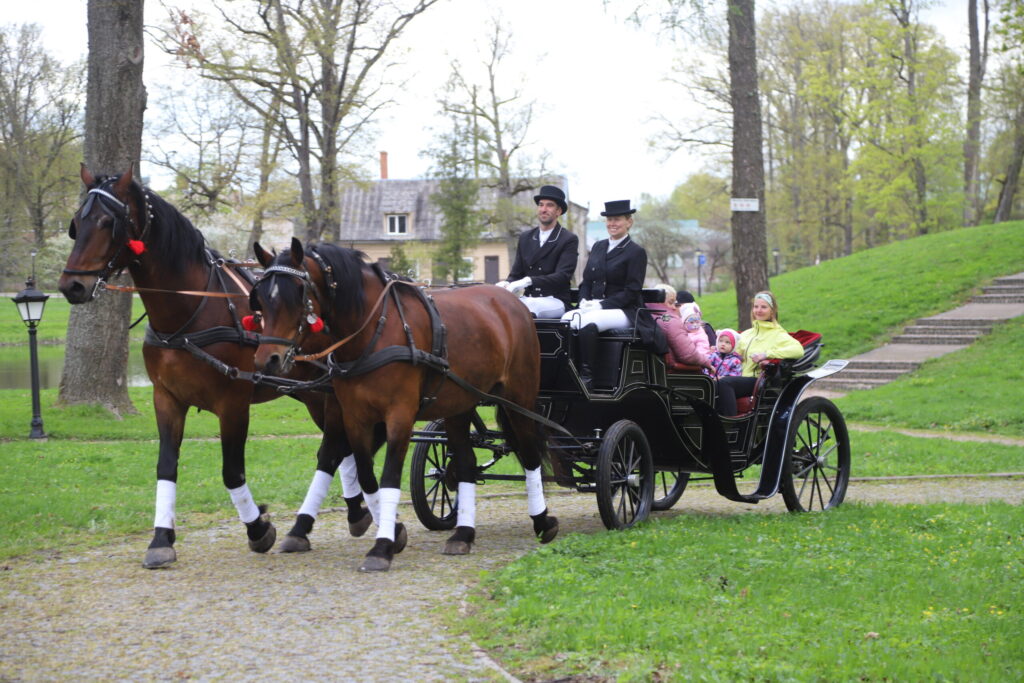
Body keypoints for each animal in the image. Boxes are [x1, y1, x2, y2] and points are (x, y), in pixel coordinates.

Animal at [57, 166, 372, 568]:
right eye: (77, 222)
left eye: (107, 222)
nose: (72, 284)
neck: (189, 314)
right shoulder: (167, 398)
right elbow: (166, 466)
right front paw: (161, 538)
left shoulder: (232, 404)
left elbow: (232, 472)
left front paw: (258, 527)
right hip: (315, 395)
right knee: (341, 448)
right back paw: (353, 511)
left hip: (330, 392)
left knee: (331, 449)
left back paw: (313, 522)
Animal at [250, 237, 560, 572]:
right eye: (260, 300)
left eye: (297, 293)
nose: (267, 359)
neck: (374, 331)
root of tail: (511, 301)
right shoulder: (355, 417)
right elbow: (363, 473)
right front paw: (390, 532)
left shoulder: (398, 417)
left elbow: (387, 476)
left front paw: (382, 545)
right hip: (459, 405)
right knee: (466, 463)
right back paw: (463, 534)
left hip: (518, 399)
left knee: (530, 455)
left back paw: (542, 521)